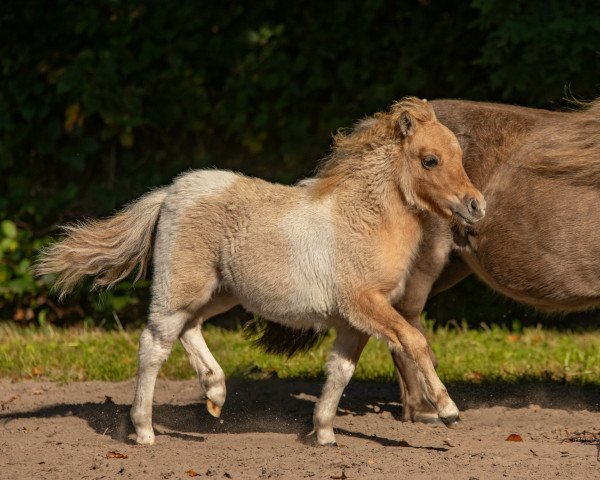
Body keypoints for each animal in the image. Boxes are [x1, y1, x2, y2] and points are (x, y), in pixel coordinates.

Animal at [35, 97, 486, 446]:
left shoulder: (355, 321)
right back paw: (144, 430)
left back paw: (215, 392)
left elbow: (340, 371)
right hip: (179, 289)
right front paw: (447, 410)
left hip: (218, 293)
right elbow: (414, 341)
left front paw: (323, 434)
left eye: (459, 156)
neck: (362, 221)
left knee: (189, 329)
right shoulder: (363, 304)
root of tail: (170, 193)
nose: (476, 205)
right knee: (154, 344)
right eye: (430, 160)